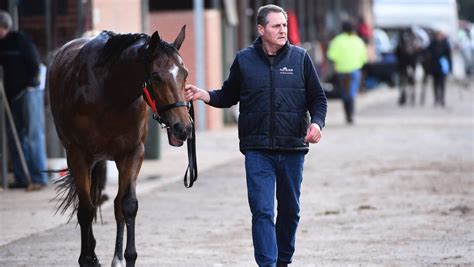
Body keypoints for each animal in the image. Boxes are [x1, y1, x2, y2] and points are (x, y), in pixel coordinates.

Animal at [49, 25, 193, 267]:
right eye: (156, 76)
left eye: (185, 74)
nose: (183, 127)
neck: (109, 92)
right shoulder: (78, 155)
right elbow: (85, 209)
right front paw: (87, 259)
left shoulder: (132, 154)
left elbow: (128, 206)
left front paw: (128, 256)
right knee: (88, 204)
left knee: (116, 205)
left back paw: (115, 257)